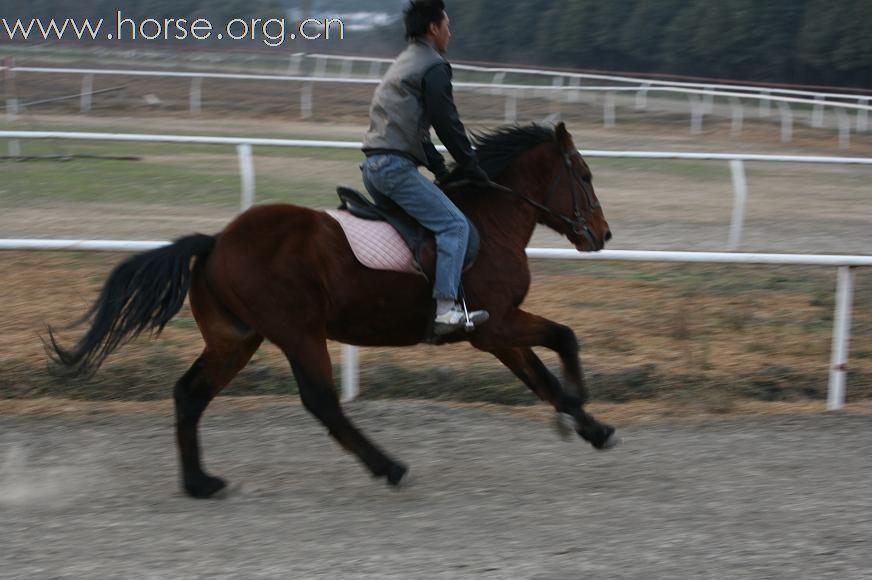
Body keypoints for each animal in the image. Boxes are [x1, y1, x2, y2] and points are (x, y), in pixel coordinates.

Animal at [49, 120, 620, 496]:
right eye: (584, 174)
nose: (602, 234)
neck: (490, 220)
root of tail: (216, 242)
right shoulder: (495, 326)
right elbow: (564, 339)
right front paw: (580, 406)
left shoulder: (497, 332)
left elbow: (541, 376)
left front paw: (591, 428)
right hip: (299, 333)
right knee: (321, 402)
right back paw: (388, 466)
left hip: (236, 339)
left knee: (189, 394)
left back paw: (200, 482)